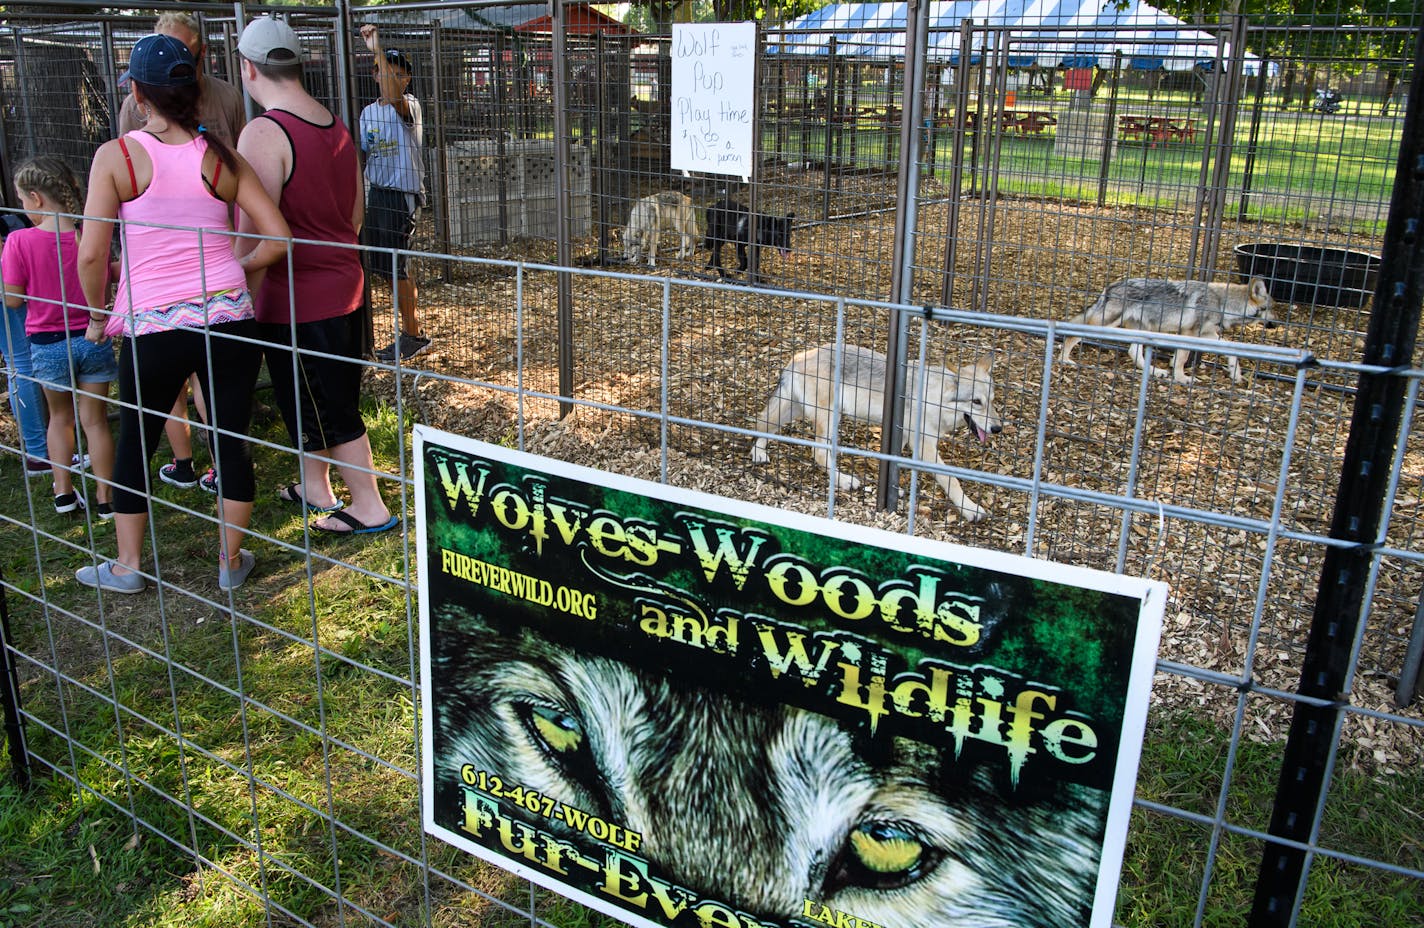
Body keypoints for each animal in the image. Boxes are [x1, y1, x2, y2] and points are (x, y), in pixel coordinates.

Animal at [746, 345, 1002, 520]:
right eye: (976, 402)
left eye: (992, 401)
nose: (998, 428)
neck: (933, 397)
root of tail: (797, 357)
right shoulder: (924, 446)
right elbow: (952, 480)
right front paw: (971, 509)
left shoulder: (903, 438)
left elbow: (892, 466)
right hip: (829, 418)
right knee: (817, 452)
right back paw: (844, 480)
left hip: (798, 410)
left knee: (764, 424)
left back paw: (758, 453)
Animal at [1059, 273, 1281, 381]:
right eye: (1271, 309)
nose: (1278, 324)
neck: (1222, 302)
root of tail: (1110, 286)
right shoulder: (1189, 333)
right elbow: (1182, 357)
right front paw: (1182, 378)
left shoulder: (1206, 333)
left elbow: (1231, 350)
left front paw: (1236, 374)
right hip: (1107, 324)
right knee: (1072, 335)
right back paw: (1064, 360)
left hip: (1143, 330)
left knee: (1133, 352)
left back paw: (1155, 372)